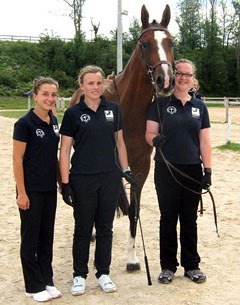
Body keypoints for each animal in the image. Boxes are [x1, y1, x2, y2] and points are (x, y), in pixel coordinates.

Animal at [70, 4, 173, 270]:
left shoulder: (140, 169)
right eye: (144, 44)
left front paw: (133, 258)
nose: (166, 81)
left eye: (171, 42)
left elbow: (134, 211)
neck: (129, 110)